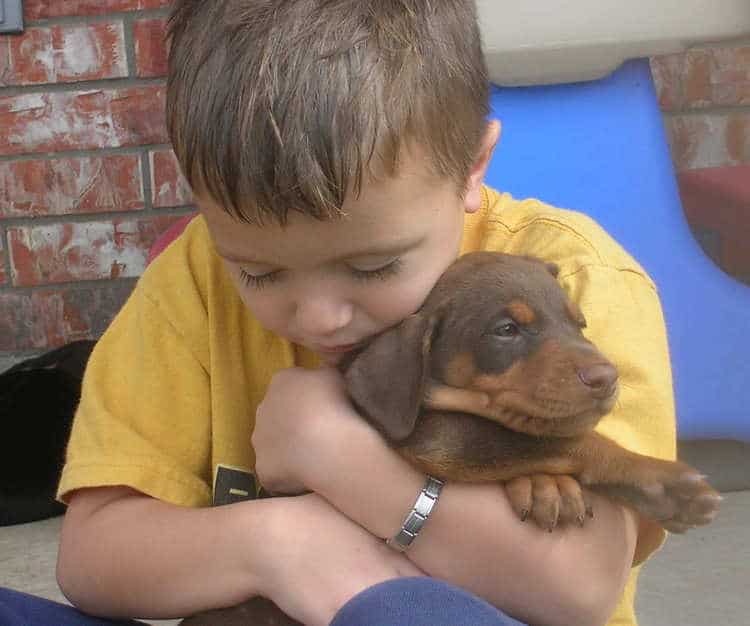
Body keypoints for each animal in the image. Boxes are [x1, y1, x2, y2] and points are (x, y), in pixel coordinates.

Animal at [181, 250, 724, 624]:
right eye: (505, 330)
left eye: (580, 323)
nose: (608, 378)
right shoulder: (436, 434)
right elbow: (554, 439)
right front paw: (666, 485)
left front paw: (546, 487)